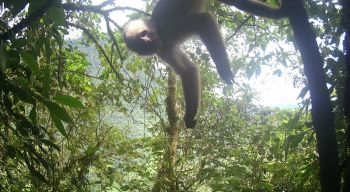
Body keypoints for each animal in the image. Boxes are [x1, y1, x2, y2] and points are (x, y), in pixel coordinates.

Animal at [121, 0, 234, 129]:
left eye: (145, 41)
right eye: (143, 49)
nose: (151, 47)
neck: (157, 28)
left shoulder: (168, 29)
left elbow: (203, 21)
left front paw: (223, 67)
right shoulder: (164, 50)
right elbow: (188, 70)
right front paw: (189, 116)